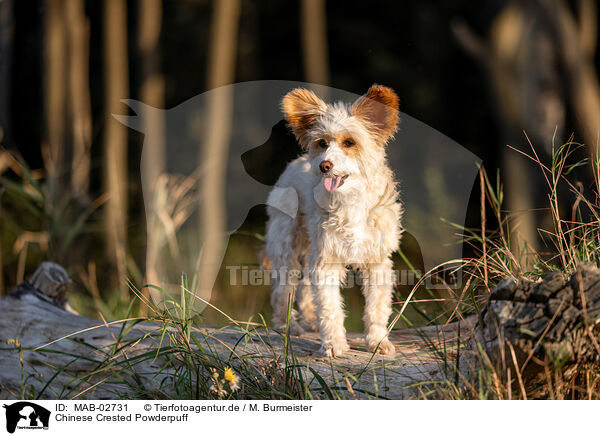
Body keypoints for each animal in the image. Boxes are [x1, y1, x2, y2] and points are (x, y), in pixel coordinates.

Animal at [264, 85, 400, 358]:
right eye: (322, 143)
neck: (351, 199)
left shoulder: (377, 262)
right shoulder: (326, 260)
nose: (324, 165)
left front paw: (378, 341)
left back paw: (308, 320)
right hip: (287, 245)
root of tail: (296, 162)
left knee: (305, 288)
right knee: (283, 290)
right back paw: (288, 326)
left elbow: (376, 308)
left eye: (349, 142)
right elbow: (330, 307)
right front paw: (333, 344)